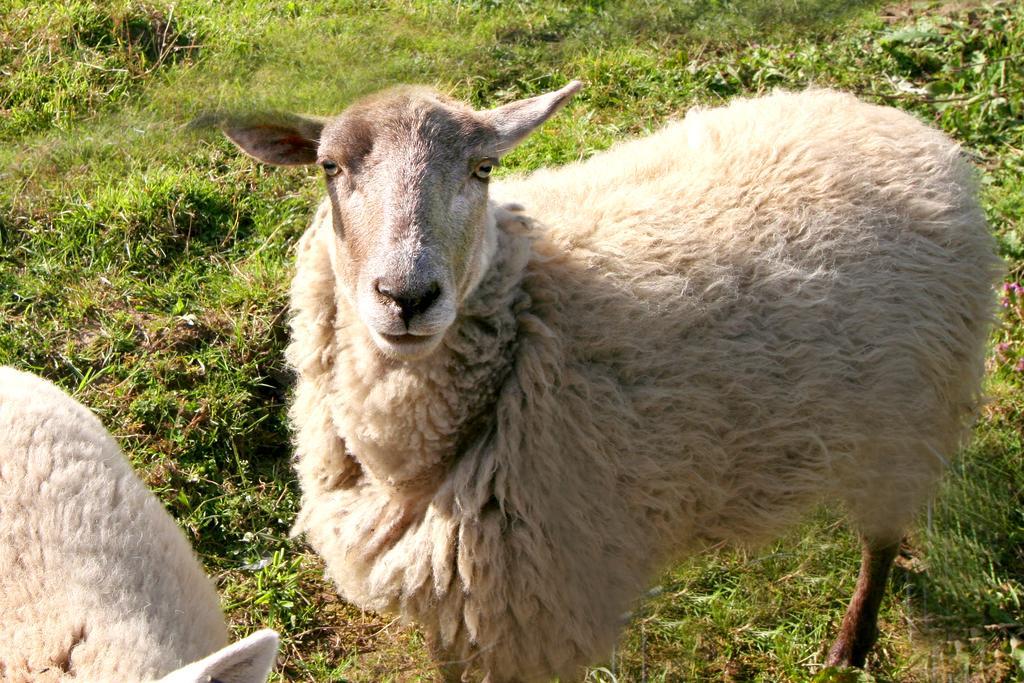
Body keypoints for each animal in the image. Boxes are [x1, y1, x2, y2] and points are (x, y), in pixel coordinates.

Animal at [220, 87, 995, 683]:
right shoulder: (453, 594)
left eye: (482, 168)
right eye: (329, 166)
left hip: (907, 418)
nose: (406, 297)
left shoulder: (534, 603)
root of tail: (898, 123)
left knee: (881, 543)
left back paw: (849, 647)